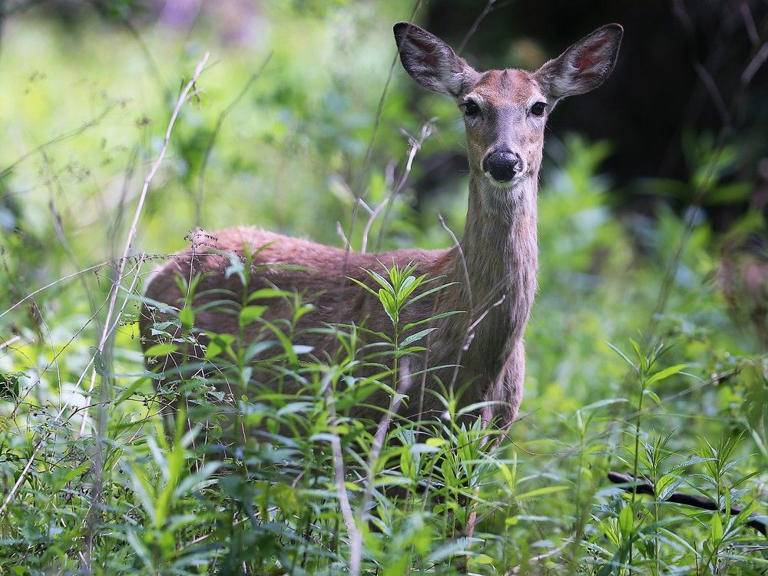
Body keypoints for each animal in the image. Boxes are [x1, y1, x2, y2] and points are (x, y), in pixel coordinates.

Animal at [140, 20, 624, 438]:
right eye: (471, 105)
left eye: (538, 106)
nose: (503, 160)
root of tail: (158, 277)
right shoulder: (374, 423)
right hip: (183, 395)